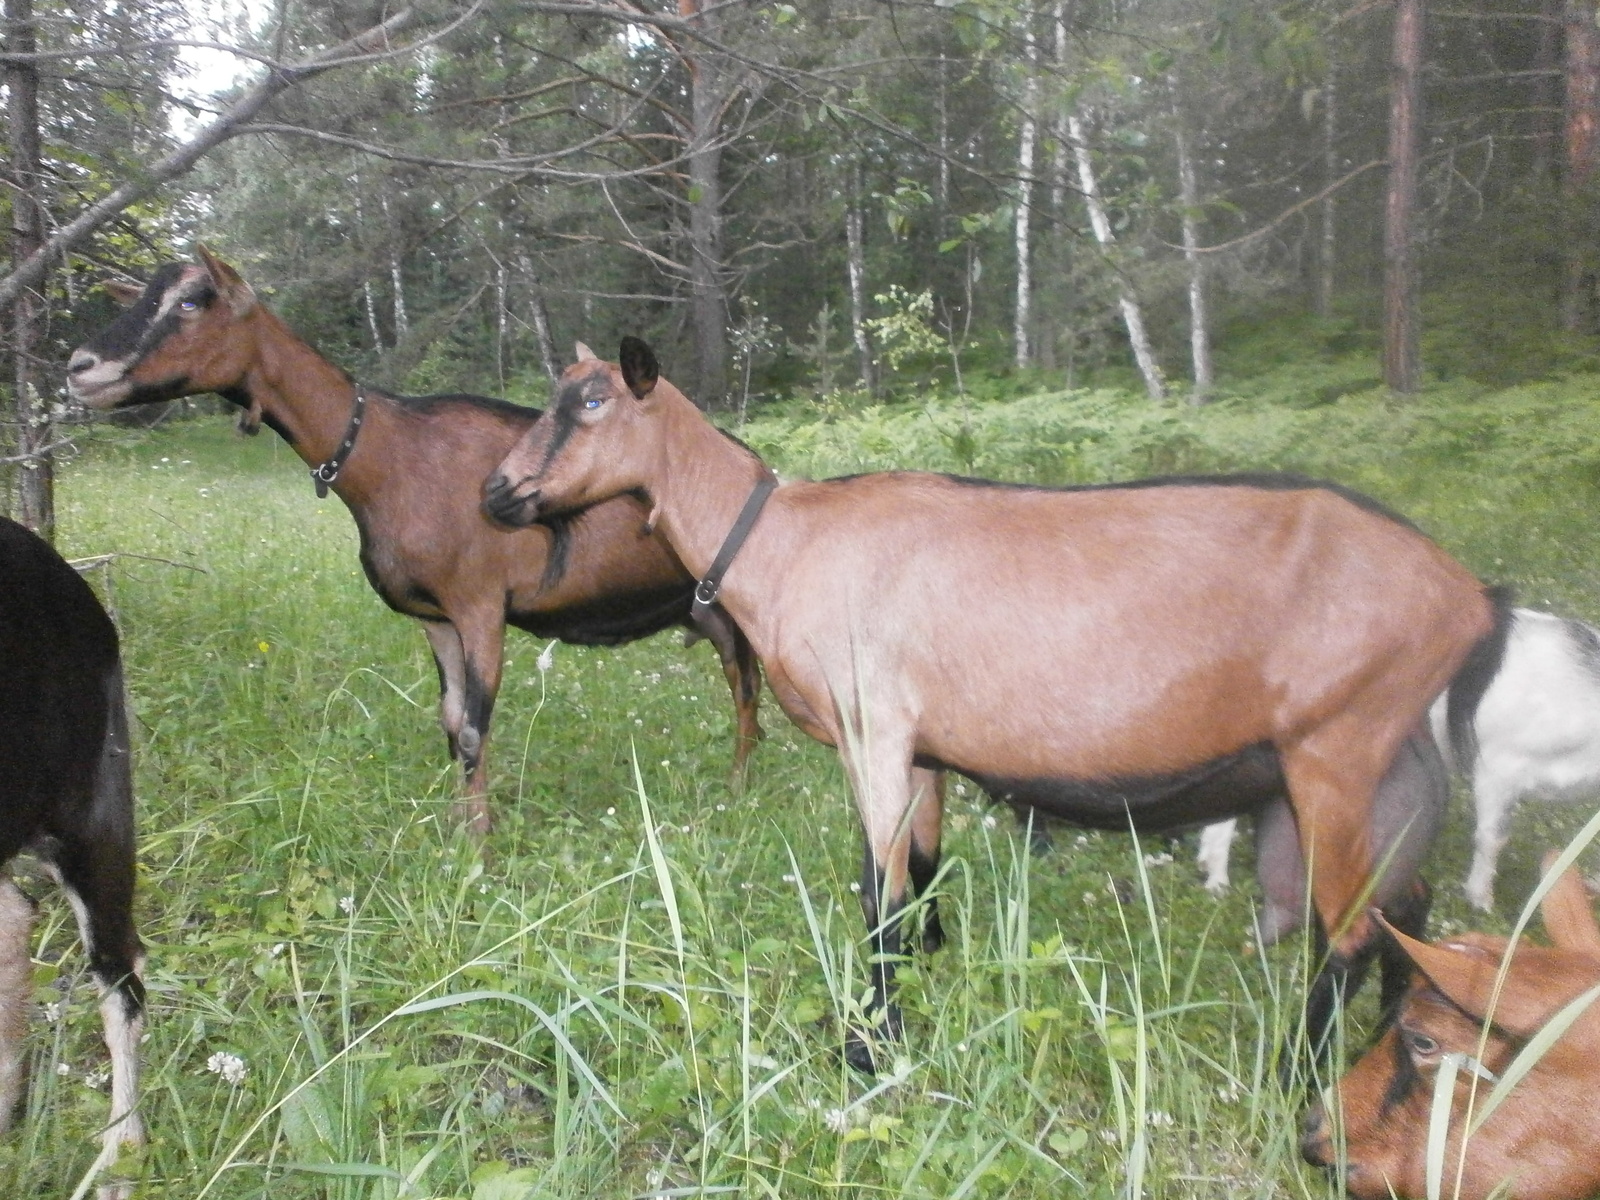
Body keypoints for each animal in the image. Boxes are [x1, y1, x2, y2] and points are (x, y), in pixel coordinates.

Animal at [64, 251, 761, 838]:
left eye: (191, 300)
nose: (80, 368)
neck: (390, 458)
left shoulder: (481, 604)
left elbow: (475, 730)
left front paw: (480, 851)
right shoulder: (436, 617)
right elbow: (450, 723)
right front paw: (455, 832)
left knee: (746, 690)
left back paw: (736, 796)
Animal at [480, 336, 1504, 1068]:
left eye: (592, 402)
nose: (496, 493)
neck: (781, 539)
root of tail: (1469, 598)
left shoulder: (874, 727)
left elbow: (879, 891)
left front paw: (869, 1045)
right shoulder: (923, 745)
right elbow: (924, 869)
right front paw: (931, 978)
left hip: (1337, 745)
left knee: (1350, 928)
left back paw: (1303, 1082)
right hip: (1392, 759)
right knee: (1407, 909)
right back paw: (1392, 1052)